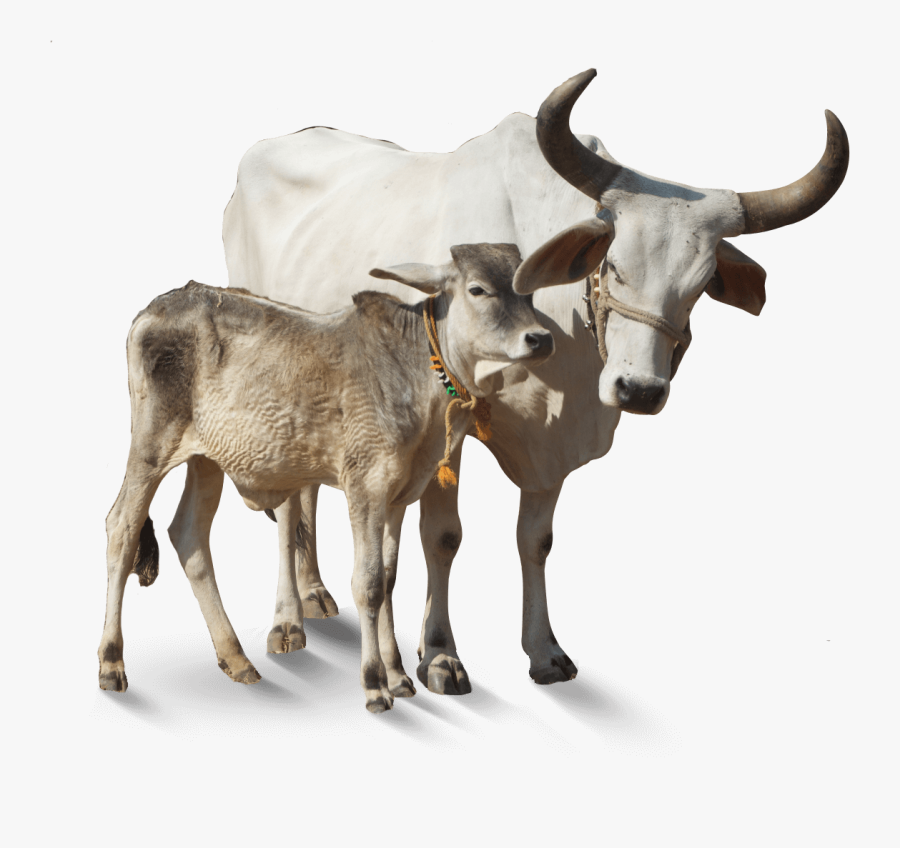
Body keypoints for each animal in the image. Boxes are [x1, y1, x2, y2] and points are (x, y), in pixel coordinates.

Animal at [97, 244, 555, 712]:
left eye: (529, 291)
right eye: (478, 289)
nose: (541, 338)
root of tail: (156, 307)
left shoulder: (398, 496)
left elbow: (388, 579)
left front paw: (398, 676)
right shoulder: (365, 486)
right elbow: (368, 583)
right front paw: (374, 683)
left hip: (206, 460)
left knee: (189, 535)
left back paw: (236, 657)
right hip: (151, 446)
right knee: (122, 527)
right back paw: (112, 663)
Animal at [222, 69, 849, 695]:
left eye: (699, 285)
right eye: (612, 265)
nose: (640, 391)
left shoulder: (552, 447)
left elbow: (536, 541)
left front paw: (543, 650)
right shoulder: (448, 428)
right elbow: (442, 537)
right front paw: (440, 655)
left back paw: (314, 594)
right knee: (286, 503)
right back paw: (287, 621)